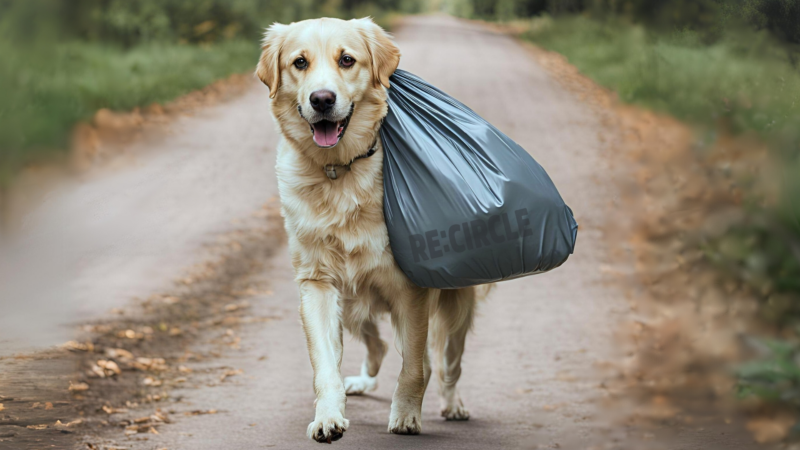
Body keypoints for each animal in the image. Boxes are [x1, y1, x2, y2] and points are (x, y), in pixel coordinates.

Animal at [258, 17, 482, 442]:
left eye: (347, 60)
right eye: (300, 62)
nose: (322, 99)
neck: (338, 172)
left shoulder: (411, 289)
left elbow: (414, 368)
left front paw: (406, 416)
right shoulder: (317, 283)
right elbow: (325, 365)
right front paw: (328, 417)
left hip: (456, 307)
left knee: (447, 363)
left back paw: (454, 404)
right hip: (351, 302)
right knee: (377, 349)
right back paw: (361, 383)